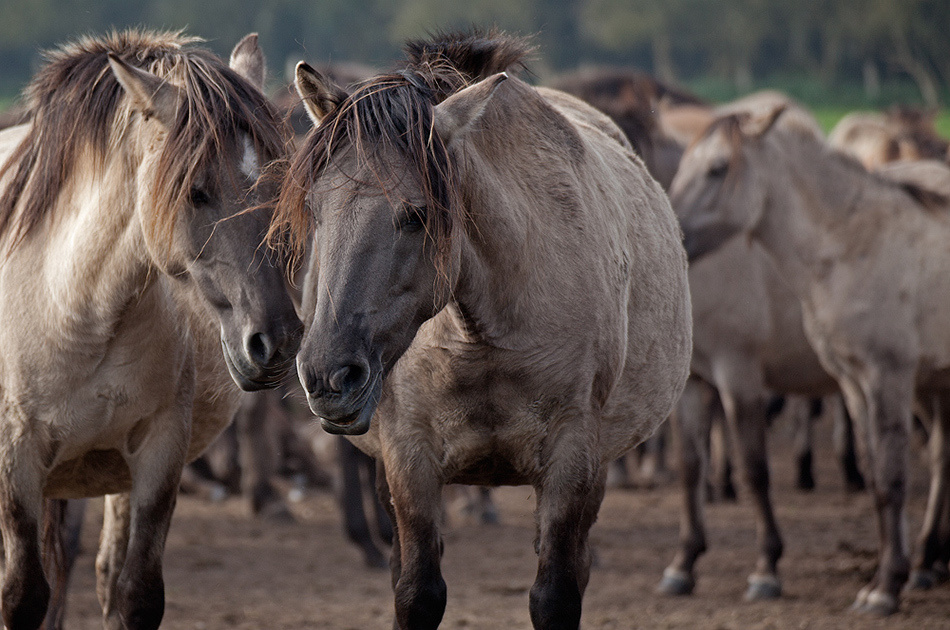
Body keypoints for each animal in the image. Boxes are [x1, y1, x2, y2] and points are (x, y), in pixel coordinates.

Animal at [0, 30, 301, 630]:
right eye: (196, 191)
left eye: (281, 186)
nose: (275, 342)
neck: (76, 310)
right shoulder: (15, 458)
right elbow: (23, 595)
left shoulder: (159, 455)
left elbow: (135, 593)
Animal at [273, 30, 692, 629]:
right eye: (313, 208)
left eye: (418, 215)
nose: (329, 375)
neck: (483, 336)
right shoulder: (408, 459)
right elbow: (416, 591)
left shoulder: (572, 460)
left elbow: (556, 593)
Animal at [673, 103, 950, 615]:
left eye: (718, 168)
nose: (672, 231)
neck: (851, 246)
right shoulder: (853, 384)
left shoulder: (883, 377)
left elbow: (887, 478)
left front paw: (882, 588)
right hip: (935, 386)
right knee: (943, 455)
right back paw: (927, 561)